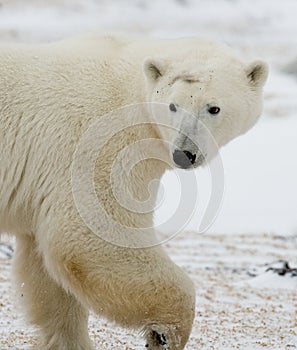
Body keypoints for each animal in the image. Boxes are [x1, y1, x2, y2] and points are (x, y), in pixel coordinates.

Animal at [0, 34, 268, 348]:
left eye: (213, 108)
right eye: (173, 106)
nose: (183, 154)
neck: (131, 92)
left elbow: (48, 279)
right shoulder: (98, 144)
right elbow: (93, 239)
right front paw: (165, 333)